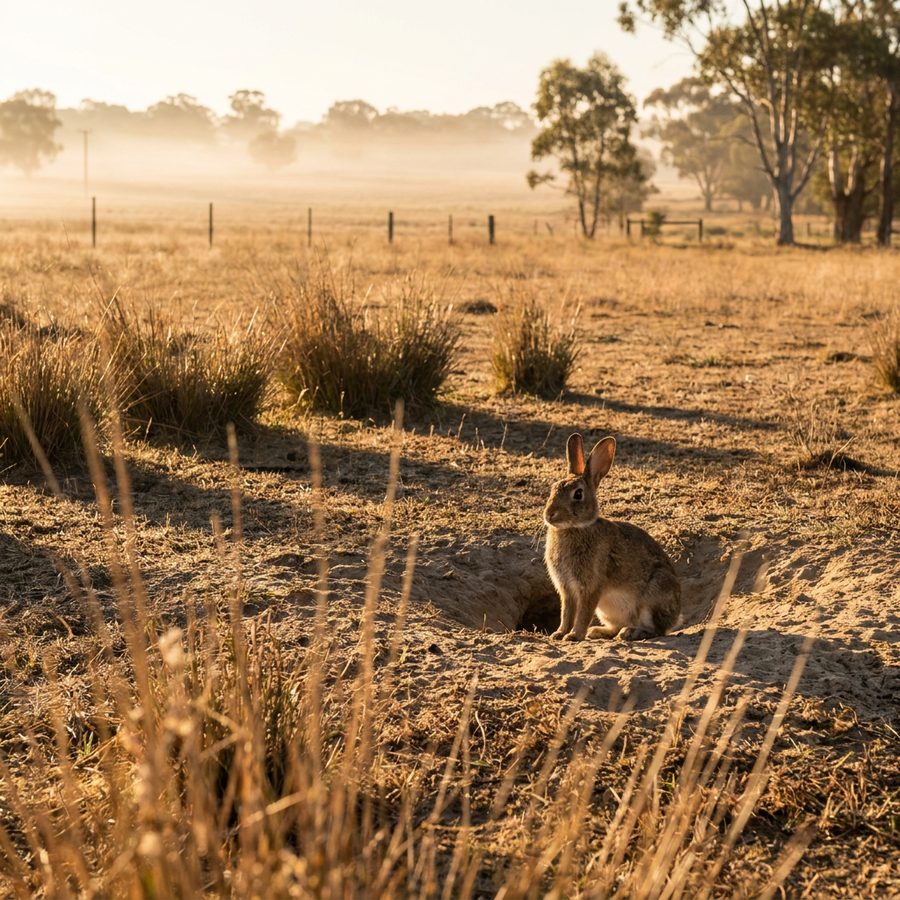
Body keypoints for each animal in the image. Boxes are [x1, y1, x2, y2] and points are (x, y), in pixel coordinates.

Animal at [543, 433, 681, 642]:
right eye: (553, 488)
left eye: (578, 494)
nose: (549, 514)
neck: (576, 528)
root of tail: (677, 615)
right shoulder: (566, 589)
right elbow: (566, 612)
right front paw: (559, 634)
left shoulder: (591, 586)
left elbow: (583, 613)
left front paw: (574, 636)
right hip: (608, 612)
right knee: (617, 626)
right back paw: (598, 631)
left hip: (654, 595)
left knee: (656, 629)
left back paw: (631, 632)